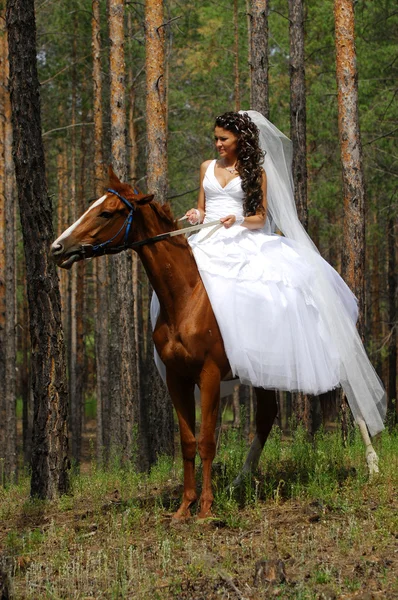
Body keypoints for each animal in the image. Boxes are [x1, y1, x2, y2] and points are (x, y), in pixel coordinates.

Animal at [52, 168, 380, 516]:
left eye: (106, 212)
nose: (57, 248)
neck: (187, 298)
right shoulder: (177, 378)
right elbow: (188, 441)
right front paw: (184, 507)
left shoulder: (208, 375)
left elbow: (207, 441)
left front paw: (206, 508)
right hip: (265, 371)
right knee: (266, 416)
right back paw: (240, 481)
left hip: (336, 356)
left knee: (356, 398)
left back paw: (372, 465)